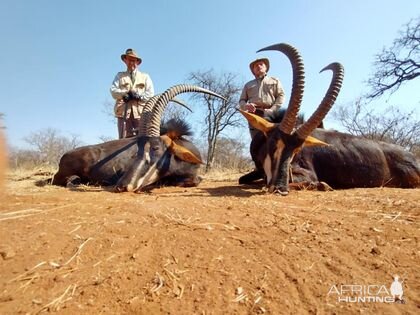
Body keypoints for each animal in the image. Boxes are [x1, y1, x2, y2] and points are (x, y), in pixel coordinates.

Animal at [238, 43, 418, 194]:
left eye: (296, 150)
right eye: (274, 144)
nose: (280, 188)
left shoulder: (305, 172)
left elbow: (308, 181)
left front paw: (323, 185)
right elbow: (243, 179)